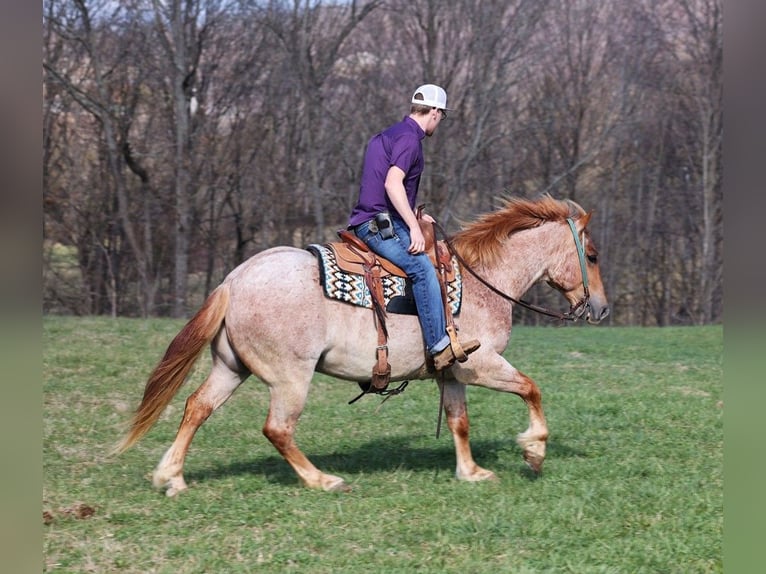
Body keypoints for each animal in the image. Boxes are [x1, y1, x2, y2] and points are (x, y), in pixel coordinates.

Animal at [115, 196, 612, 498]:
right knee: (278, 429)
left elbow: (459, 422)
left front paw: (470, 472)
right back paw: (321, 479)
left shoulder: (451, 372)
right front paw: (534, 451)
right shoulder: (482, 364)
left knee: (197, 407)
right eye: (591, 256)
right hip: (290, 377)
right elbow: (531, 388)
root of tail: (234, 280)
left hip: (231, 366)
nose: (602, 309)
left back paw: (171, 477)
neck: (483, 281)